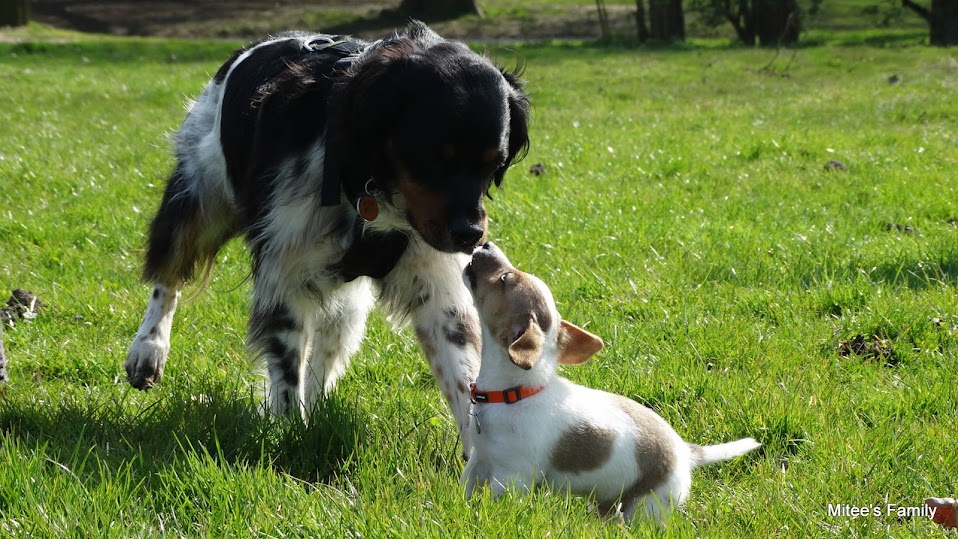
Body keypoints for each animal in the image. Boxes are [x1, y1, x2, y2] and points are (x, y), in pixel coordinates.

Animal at [124, 21, 532, 456]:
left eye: (494, 163)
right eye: (435, 156)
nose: (470, 235)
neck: (363, 177)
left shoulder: (436, 285)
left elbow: (462, 376)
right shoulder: (285, 274)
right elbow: (287, 372)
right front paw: (290, 434)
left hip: (345, 302)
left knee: (326, 350)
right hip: (199, 199)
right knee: (168, 278)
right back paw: (148, 350)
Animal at [462, 244, 760, 524]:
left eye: (505, 278)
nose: (486, 244)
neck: (513, 393)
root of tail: (687, 453)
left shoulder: (510, 478)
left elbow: (500, 503)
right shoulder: (479, 462)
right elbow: (466, 487)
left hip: (648, 506)